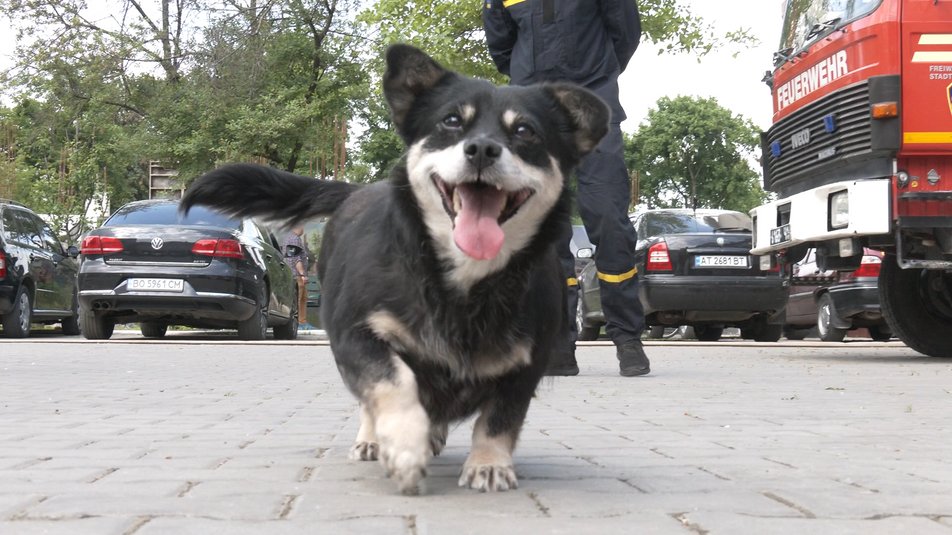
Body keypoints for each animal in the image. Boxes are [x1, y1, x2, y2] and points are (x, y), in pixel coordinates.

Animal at [182, 45, 608, 494]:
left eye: (525, 131)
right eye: (451, 121)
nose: (481, 149)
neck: (464, 283)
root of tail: (357, 190)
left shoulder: (526, 363)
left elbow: (500, 418)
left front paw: (489, 463)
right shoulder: (356, 336)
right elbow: (393, 382)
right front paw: (405, 444)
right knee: (375, 400)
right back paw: (376, 438)